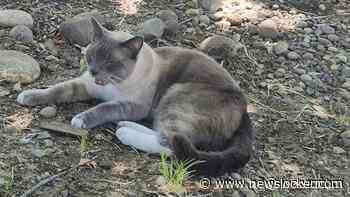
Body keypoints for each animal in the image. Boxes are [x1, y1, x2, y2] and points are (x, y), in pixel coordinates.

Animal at [16, 17, 253, 176]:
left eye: (111, 63)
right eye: (91, 56)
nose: (93, 71)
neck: (111, 85)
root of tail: (244, 108)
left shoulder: (131, 105)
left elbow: (103, 108)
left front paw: (80, 119)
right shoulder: (85, 85)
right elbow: (56, 90)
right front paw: (27, 96)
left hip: (174, 96)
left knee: (172, 144)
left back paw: (125, 133)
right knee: (166, 135)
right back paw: (125, 126)